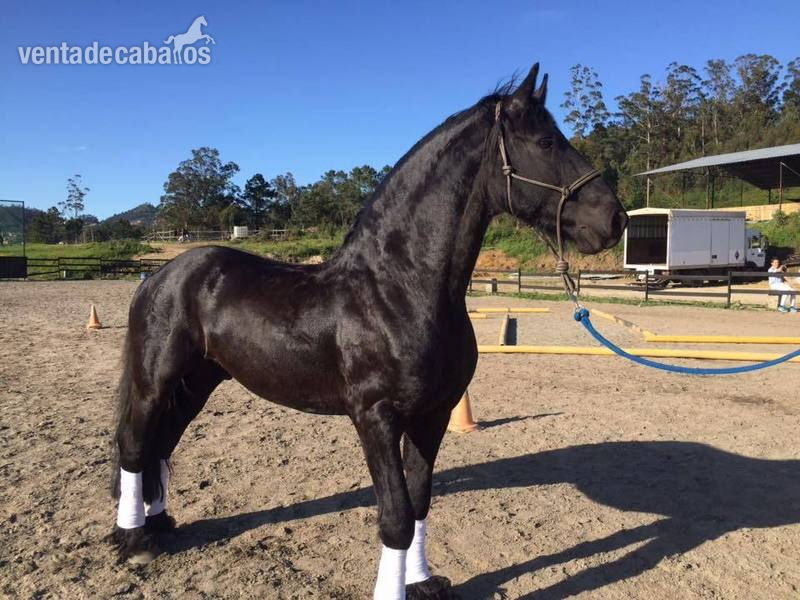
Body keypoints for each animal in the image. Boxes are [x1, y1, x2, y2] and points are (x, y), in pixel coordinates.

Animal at [110, 62, 627, 599]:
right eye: (546, 142)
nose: (615, 219)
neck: (399, 287)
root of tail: (161, 275)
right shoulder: (375, 417)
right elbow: (395, 517)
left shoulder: (433, 415)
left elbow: (418, 505)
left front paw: (422, 583)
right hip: (155, 382)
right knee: (134, 445)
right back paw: (135, 540)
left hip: (198, 382)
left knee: (163, 444)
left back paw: (160, 525)